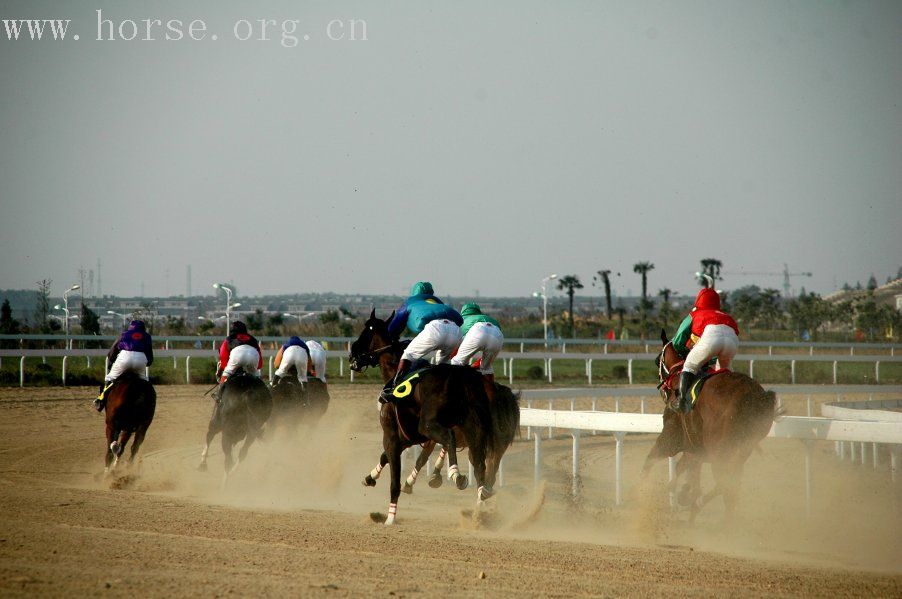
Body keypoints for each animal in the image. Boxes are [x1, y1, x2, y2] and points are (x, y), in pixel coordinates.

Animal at [350, 312, 504, 528]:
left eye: (365, 332)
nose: (352, 355)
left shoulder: (392, 436)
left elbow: (394, 479)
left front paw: (390, 518)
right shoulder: (408, 439)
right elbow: (384, 458)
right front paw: (369, 477)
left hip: (431, 424)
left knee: (449, 438)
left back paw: (455, 474)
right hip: (475, 428)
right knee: (480, 462)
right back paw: (482, 495)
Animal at [648, 330, 780, 524]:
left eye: (658, 360)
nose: (663, 390)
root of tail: (754, 396)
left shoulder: (672, 437)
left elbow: (651, 462)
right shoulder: (694, 449)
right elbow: (688, 471)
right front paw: (686, 495)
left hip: (720, 448)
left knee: (725, 482)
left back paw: (697, 503)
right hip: (741, 448)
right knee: (730, 485)